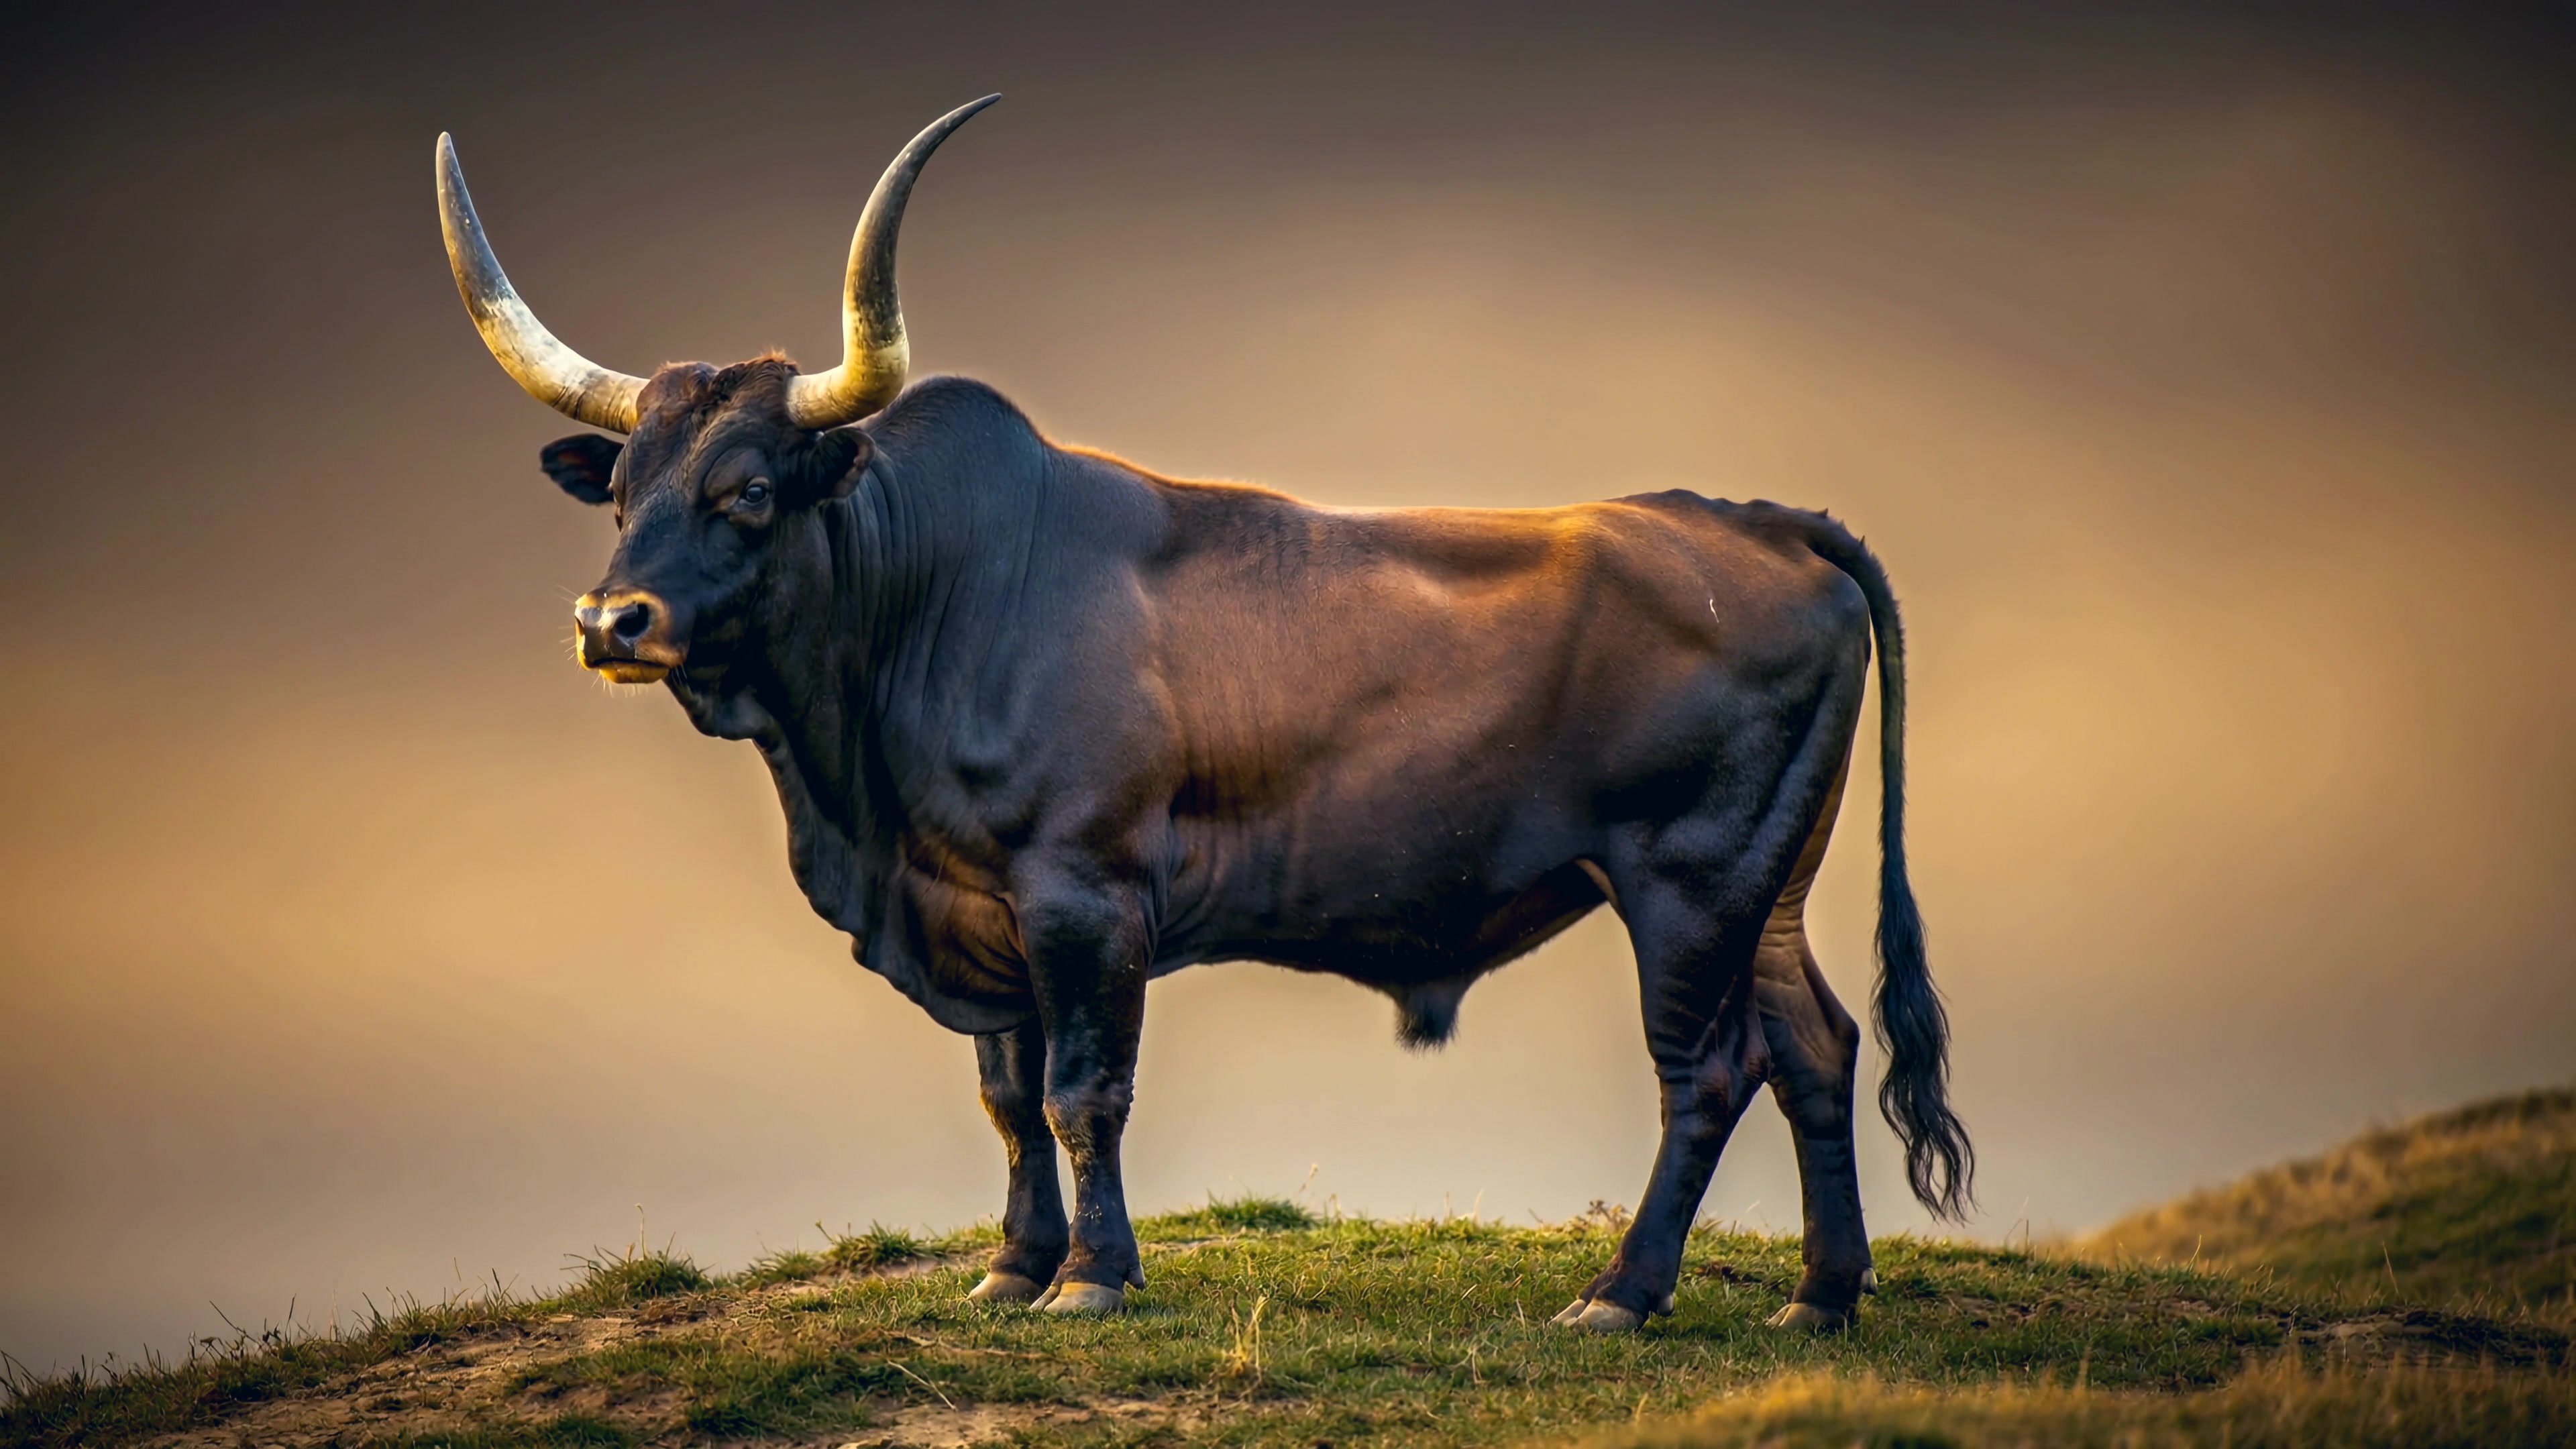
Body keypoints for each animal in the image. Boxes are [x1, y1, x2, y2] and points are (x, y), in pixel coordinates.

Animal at [434, 96, 1971, 1332]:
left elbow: (1082, 1090)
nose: (611, 622)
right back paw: (1821, 1298)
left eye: (750, 488)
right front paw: (1010, 1270)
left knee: (1708, 1071)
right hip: (1767, 883)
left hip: (1687, 878)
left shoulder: (1083, 893)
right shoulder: (979, 901)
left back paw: (1620, 1296)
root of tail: (1754, 518)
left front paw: (1091, 1279)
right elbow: (1008, 1094)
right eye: (621, 487)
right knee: (1818, 1048)